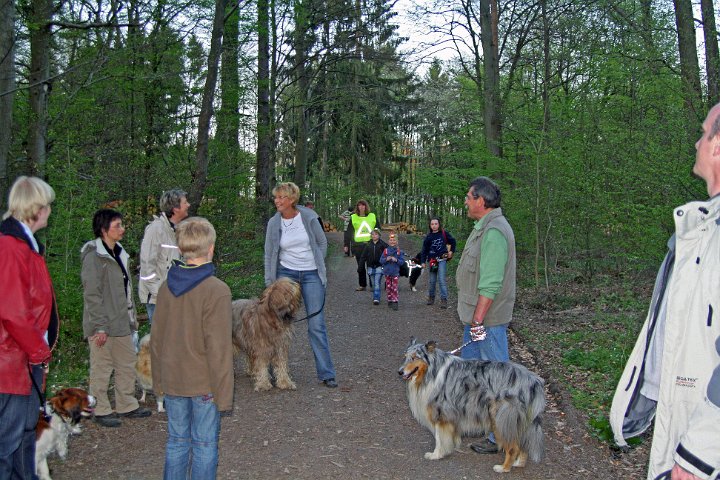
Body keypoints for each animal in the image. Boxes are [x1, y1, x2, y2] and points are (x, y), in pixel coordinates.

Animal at [398, 340, 545, 473]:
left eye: (415, 357)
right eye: (405, 356)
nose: (400, 372)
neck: (433, 371)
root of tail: (533, 381)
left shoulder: (442, 414)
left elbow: (439, 438)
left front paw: (436, 455)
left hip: (501, 420)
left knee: (513, 447)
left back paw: (503, 468)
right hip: (518, 422)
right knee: (523, 444)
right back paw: (518, 463)